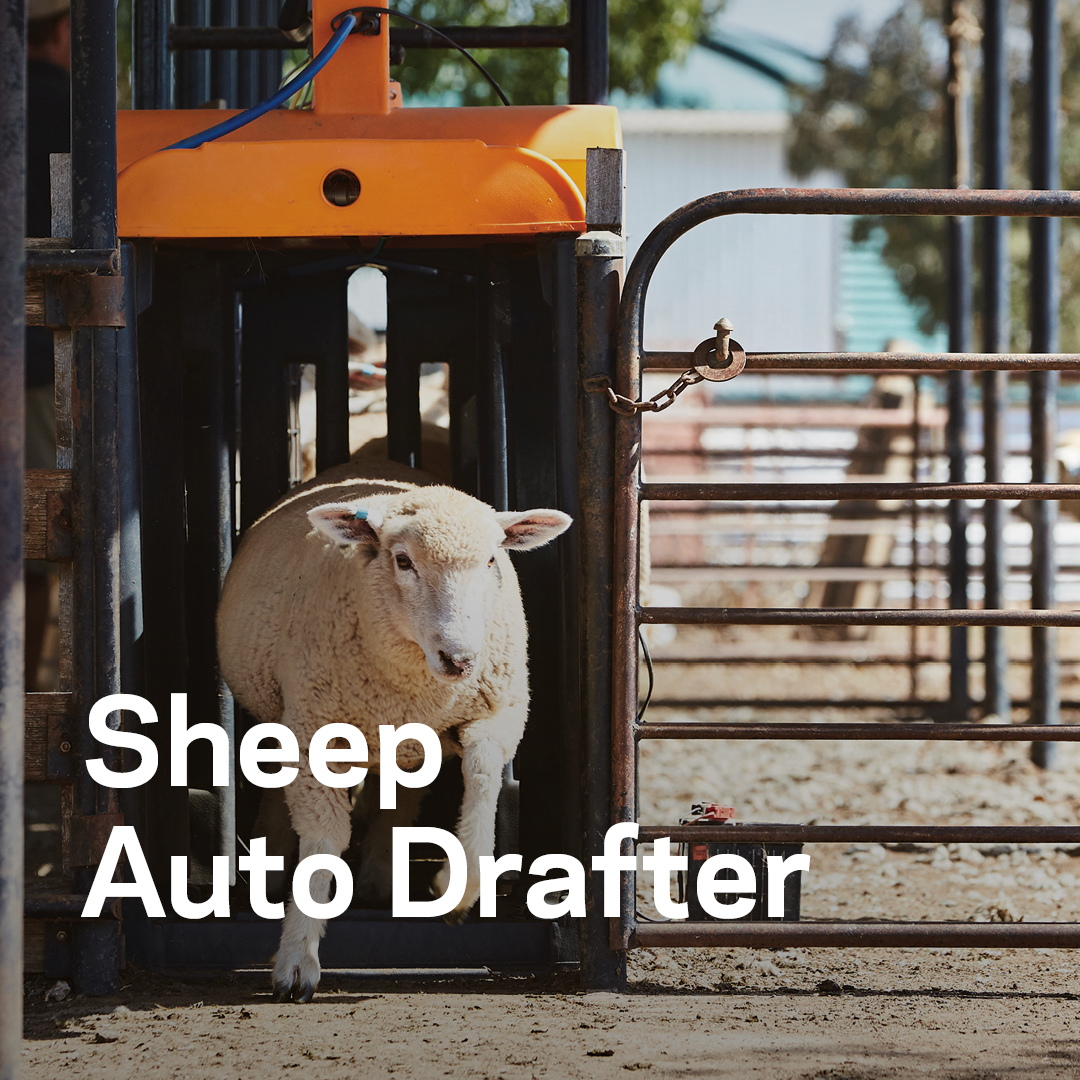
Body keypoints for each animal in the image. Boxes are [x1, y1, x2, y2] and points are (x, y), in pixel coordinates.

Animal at [216, 457, 571, 1002]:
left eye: (492, 560)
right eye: (403, 561)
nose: (460, 659)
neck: (416, 682)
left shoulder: (499, 712)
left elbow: (484, 779)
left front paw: (459, 886)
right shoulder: (314, 727)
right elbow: (323, 837)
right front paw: (298, 958)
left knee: (398, 799)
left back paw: (381, 879)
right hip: (286, 713)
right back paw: (272, 870)